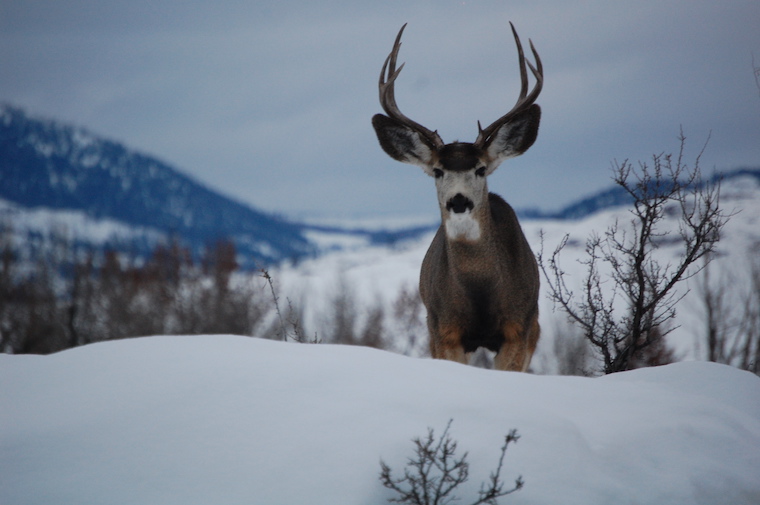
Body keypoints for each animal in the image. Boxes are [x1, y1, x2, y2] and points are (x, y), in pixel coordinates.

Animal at [371, 23, 542, 371]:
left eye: (481, 168)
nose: (459, 200)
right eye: (438, 171)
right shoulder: (443, 329)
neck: (480, 291)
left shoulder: (519, 327)